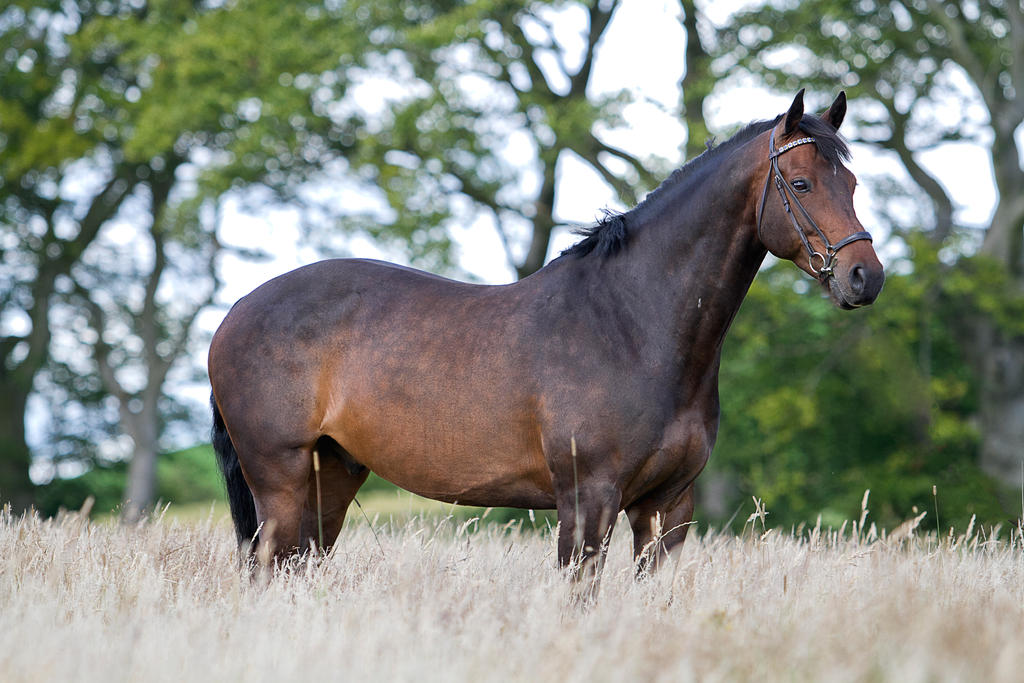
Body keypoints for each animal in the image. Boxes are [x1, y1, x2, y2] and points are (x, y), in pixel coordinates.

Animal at [205, 88, 880, 573]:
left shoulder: (668, 507)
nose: (864, 277)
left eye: (851, 183)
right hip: (280, 480)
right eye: (801, 183)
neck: (631, 325)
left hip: (334, 476)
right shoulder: (587, 501)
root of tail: (237, 310)